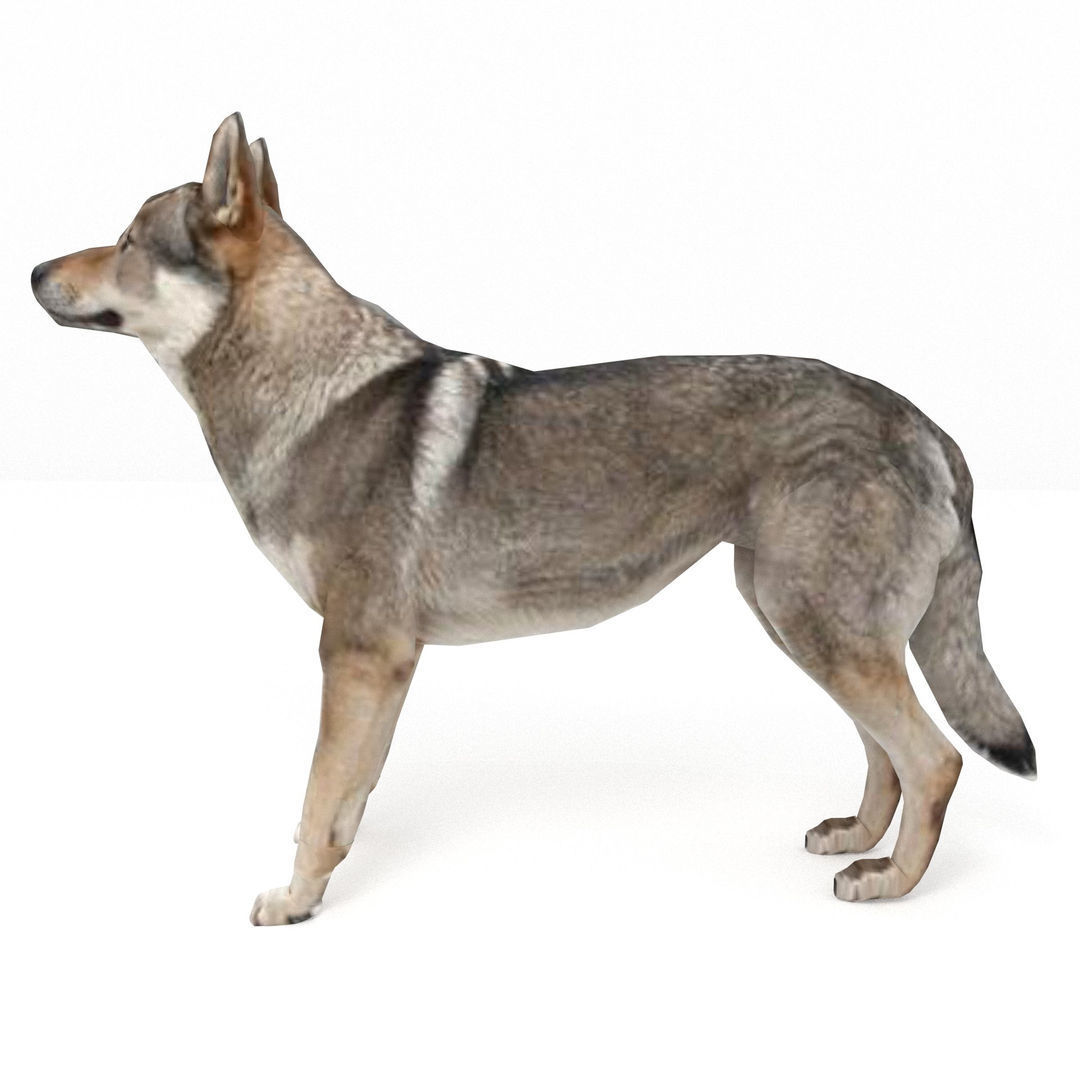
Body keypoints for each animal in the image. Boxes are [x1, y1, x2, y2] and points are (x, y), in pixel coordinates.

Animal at [31, 113, 1035, 924]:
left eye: (124, 240)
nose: (35, 268)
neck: (307, 390)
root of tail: (926, 423)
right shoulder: (383, 664)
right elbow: (349, 798)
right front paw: (323, 887)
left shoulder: (355, 653)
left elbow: (317, 801)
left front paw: (294, 900)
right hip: (800, 624)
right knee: (886, 756)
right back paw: (856, 840)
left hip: (818, 629)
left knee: (934, 760)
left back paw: (891, 884)